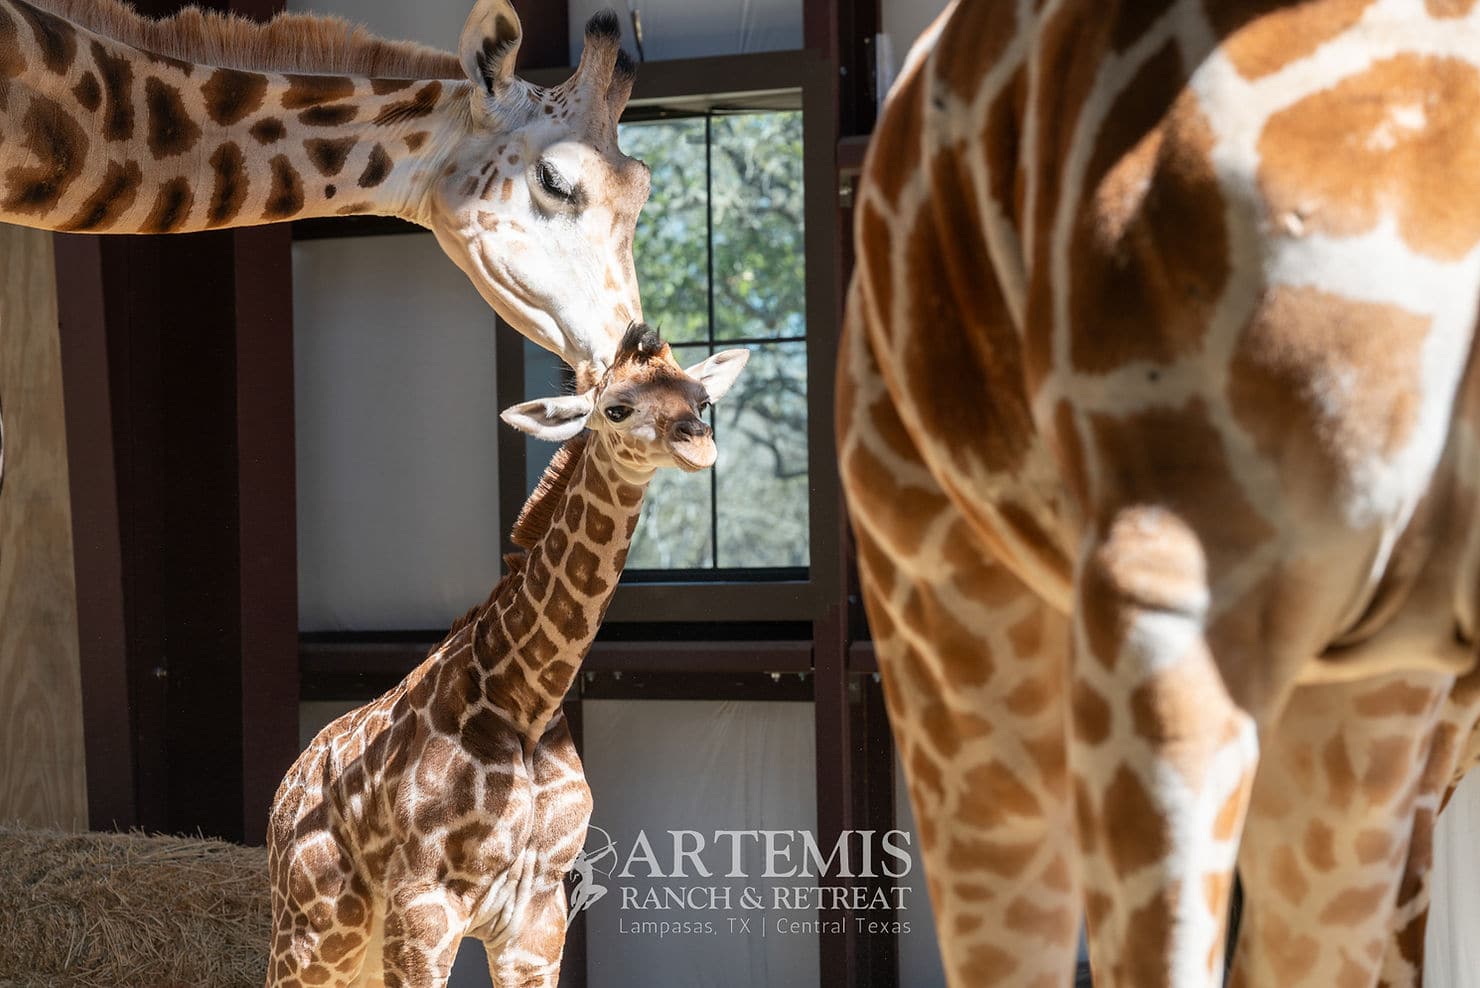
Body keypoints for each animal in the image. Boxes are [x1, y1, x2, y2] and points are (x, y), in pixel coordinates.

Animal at [264, 323, 748, 988]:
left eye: (701, 399)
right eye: (616, 408)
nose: (698, 444)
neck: (524, 699)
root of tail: (282, 801)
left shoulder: (538, 913)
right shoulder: (424, 907)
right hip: (316, 933)